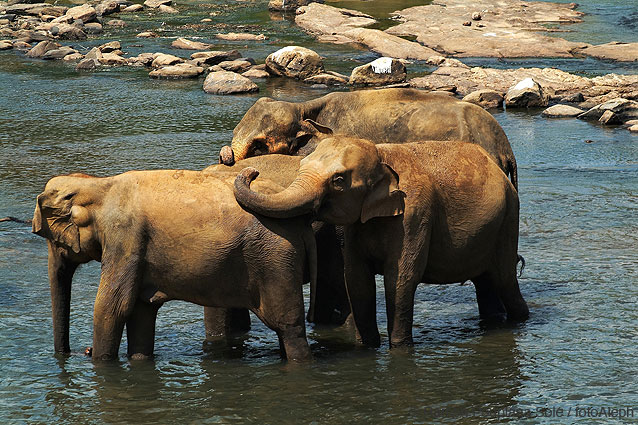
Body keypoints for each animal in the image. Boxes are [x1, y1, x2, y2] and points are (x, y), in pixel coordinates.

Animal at [32, 169, 318, 362]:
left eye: (53, 240)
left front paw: (100, 362)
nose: (78, 352)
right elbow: (141, 311)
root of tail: (302, 223)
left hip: (275, 260)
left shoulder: (124, 237)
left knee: (288, 327)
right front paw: (138, 360)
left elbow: (112, 307)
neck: (99, 184)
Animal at [235, 137, 528, 346]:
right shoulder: (355, 226)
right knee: (486, 282)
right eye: (302, 167)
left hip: (509, 218)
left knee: (504, 278)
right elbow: (356, 278)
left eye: (338, 180)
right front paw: (368, 345)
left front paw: (398, 346)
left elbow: (399, 279)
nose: (252, 172)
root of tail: (496, 166)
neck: (380, 154)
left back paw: (520, 321)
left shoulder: (415, 213)